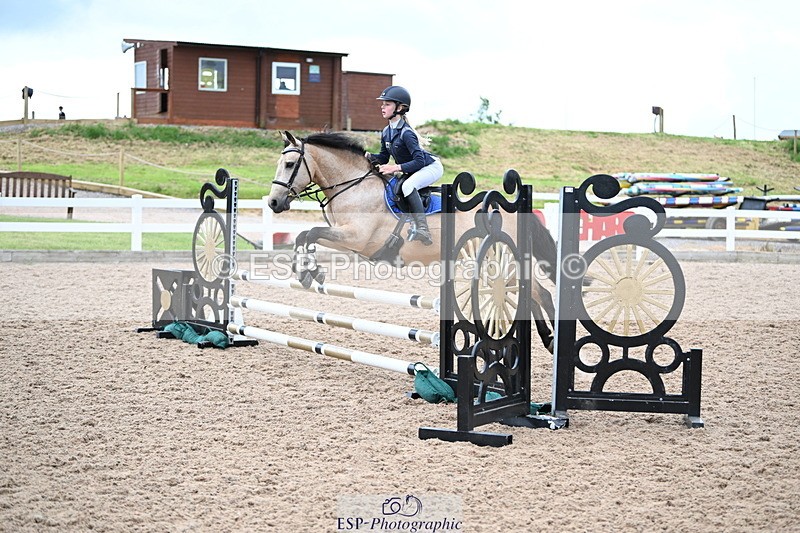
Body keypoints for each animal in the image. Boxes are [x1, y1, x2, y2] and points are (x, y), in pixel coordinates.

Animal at [267, 130, 558, 352]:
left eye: (290, 165)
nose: (273, 203)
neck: (354, 187)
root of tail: (512, 209)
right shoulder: (346, 240)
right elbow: (306, 235)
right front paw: (306, 271)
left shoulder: (357, 236)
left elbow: (311, 232)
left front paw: (308, 271)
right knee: (526, 295)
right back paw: (547, 337)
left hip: (497, 259)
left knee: (540, 293)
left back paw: (554, 343)